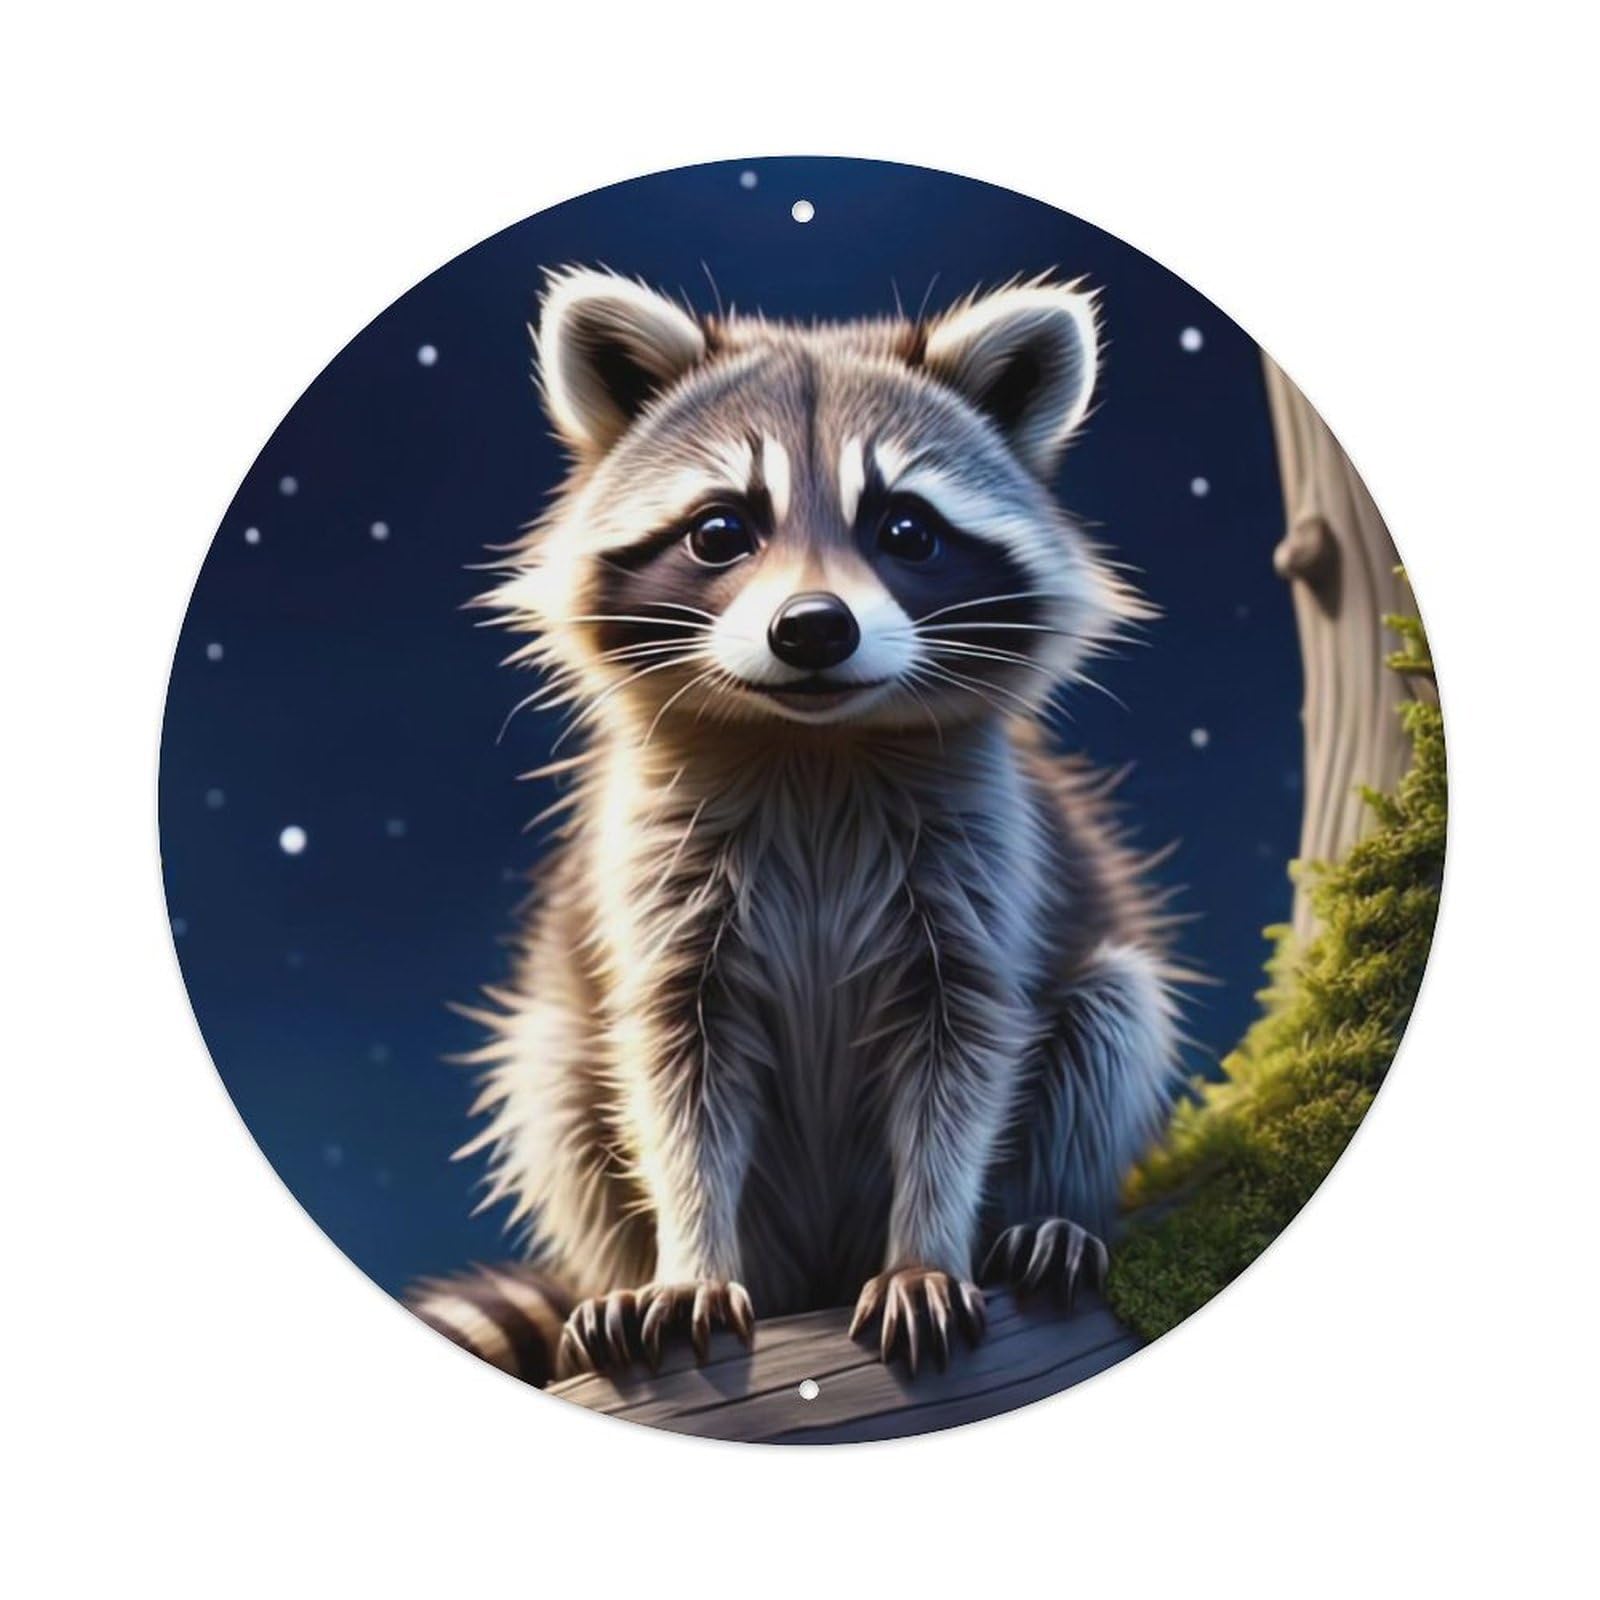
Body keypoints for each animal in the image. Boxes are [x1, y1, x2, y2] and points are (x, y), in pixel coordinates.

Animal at [409, 269, 1181, 1383]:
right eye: (720, 530)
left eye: (906, 531)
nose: (813, 627)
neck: (812, 747)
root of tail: (808, 1274)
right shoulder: (657, 873)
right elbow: (673, 1076)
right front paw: (687, 1258)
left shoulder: (986, 858)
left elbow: (966, 1054)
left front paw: (927, 1247)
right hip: (579, 1061)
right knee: (554, 1076)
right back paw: (621, 1277)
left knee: (1111, 1019)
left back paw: (1046, 1219)